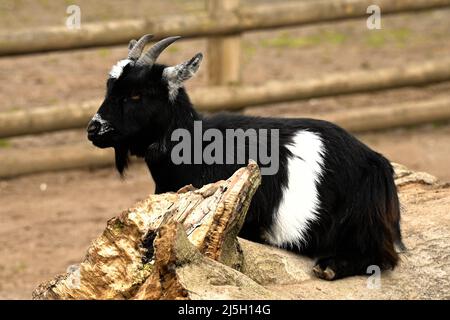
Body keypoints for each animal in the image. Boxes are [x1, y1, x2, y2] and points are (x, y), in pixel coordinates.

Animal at [86, 35, 402, 280]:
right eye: (109, 88)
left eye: (137, 94)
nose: (93, 129)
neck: (198, 145)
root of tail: (375, 161)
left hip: (360, 222)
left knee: (382, 257)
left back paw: (329, 266)